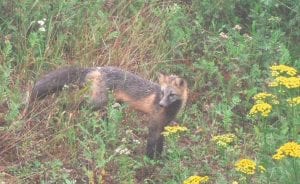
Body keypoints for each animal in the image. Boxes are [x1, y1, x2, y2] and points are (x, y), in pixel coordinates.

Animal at [27, 66, 188, 158]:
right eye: (162, 93)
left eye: (171, 95)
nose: (161, 104)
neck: (170, 111)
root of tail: (97, 68)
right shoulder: (154, 123)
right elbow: (151, 143)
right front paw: (149, 159)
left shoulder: (164, 125)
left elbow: (160, 144)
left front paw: (159, 158)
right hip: (96, 103)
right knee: (73, 105)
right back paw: (60, 114)